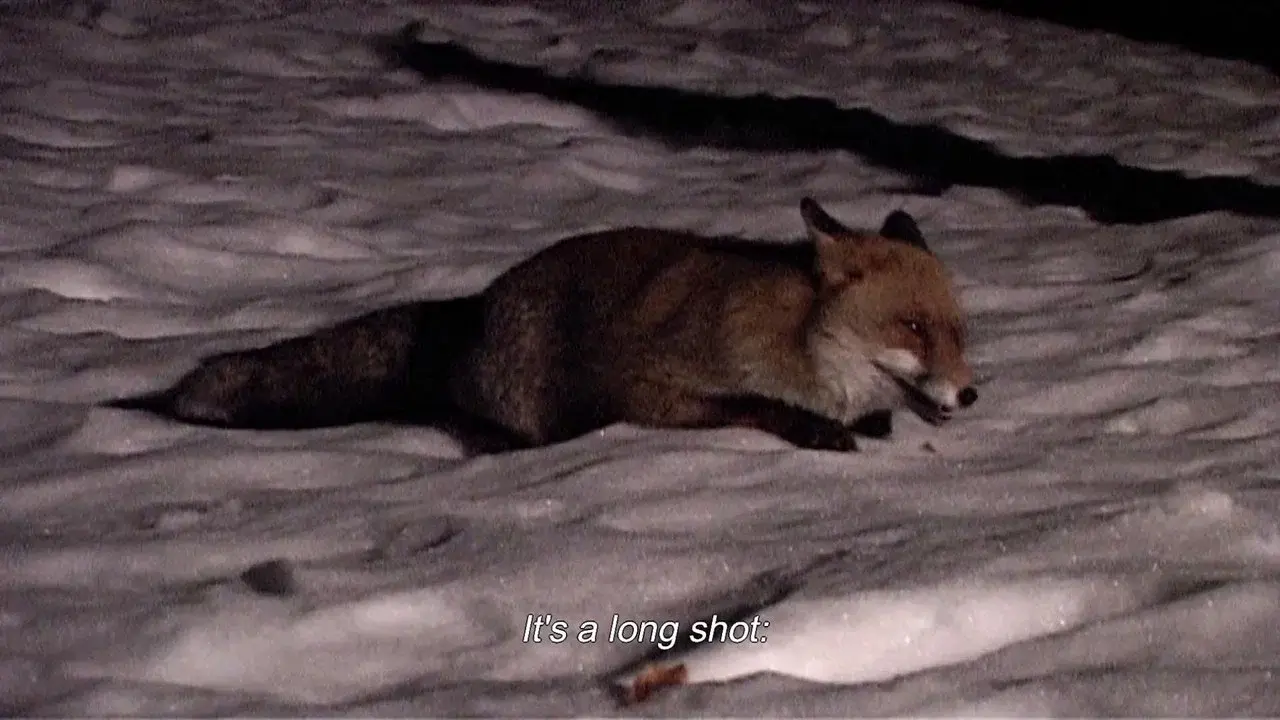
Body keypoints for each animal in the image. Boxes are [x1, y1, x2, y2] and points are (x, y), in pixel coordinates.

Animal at [106, 198, 976, 452]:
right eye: (910, 326)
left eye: (958, 331)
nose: (970, 396)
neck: (800, 343)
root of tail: (476, 305)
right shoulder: (649, 387)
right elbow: (757, 406)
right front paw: (817, 432)